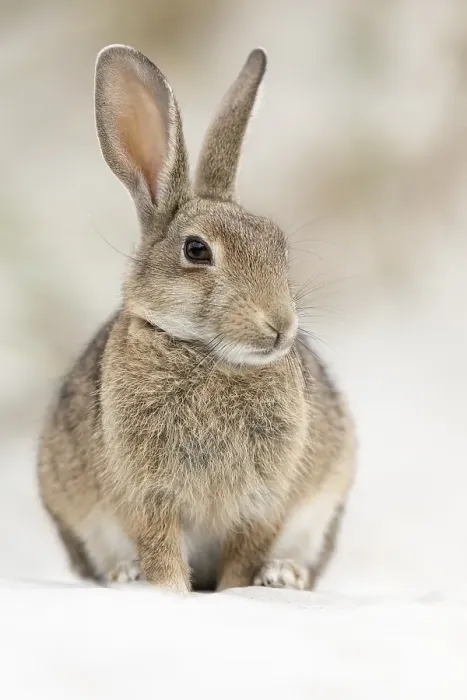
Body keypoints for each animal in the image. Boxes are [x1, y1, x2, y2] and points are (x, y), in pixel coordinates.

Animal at [37, 44, 356, 592]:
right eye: (196, 250)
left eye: (277, 244)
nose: (280, 327)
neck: (206, 355)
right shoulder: (148, 495)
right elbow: (162, 549)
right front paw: (167, 591)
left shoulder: (263, 503)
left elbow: (243, 557)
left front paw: (238, 591)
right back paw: (124, 576)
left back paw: (284, 576)